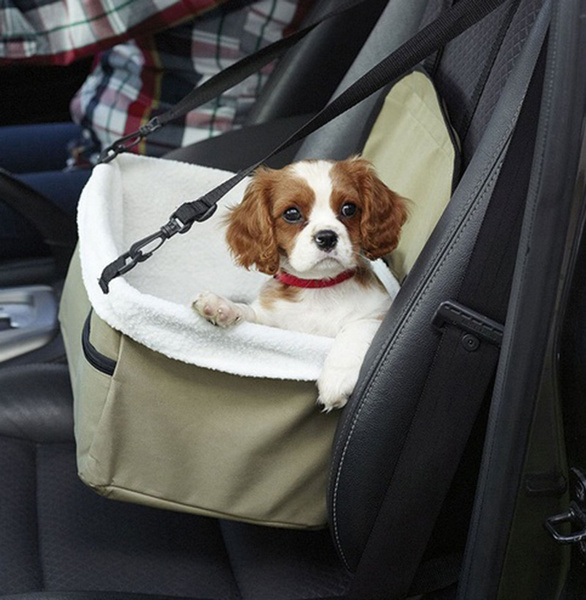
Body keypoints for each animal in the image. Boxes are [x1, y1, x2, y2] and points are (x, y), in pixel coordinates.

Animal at [193, 157, 406, 410]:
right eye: (292, 213)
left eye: (349, 208)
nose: (327, 237)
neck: (320, 287)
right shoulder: (273, 324)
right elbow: (250, 313)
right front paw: (220, 305)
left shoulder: (379, 313)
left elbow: (355, 328)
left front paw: (336, 377)